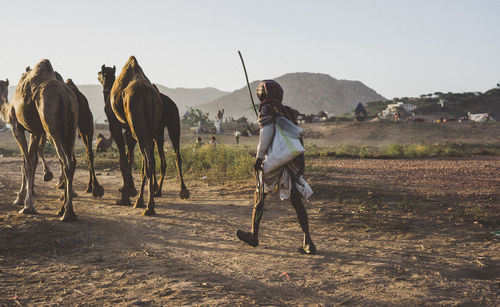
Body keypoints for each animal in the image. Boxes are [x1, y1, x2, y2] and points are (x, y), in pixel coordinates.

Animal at [0, 59, 78, 221]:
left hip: (52, 128)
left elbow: (26, 163)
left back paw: (67, 213)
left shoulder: (17, 127)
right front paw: (22, 198)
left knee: (65, 161)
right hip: (71, 130)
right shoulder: (35, 131)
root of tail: (65, 96)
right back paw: (64, 209)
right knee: (71, 161)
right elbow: (32, 160)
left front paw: (26, 205)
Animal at [97, 58, 189, 217]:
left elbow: (123, 159)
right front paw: (128, 189)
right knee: (168, 158)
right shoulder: (130, 131)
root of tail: (148, 96)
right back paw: (178, 191)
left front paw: (126, 195)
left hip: (141, 129)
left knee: (148, 162)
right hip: (168, 126)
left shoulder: (116, 125)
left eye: (100, 73)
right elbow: (130, 156)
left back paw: (145, 203)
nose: (98, 76)